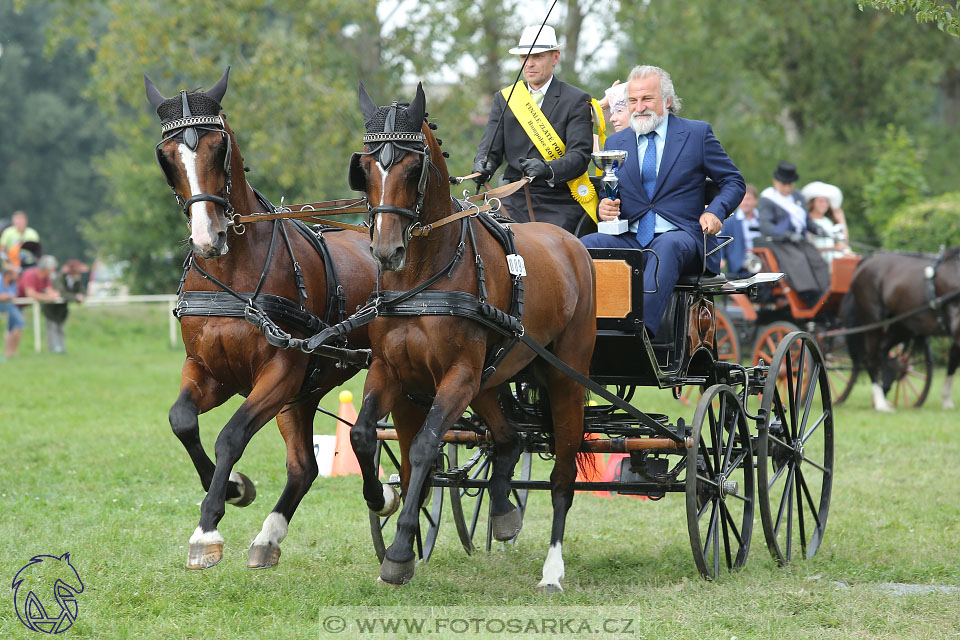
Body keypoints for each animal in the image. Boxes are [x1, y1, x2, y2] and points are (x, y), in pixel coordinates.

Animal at [144, 70, 376, 568]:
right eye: (167, 156)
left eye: (219, 147)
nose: (207, 237)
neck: (232, 275)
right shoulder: (211, 371)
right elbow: (181, 420)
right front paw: (234, 488)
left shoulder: (280, 371)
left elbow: (231, 437)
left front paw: (207, 528)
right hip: (307, 390)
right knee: (304, 466)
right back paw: (268, 538)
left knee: (380, 433)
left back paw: (383, 496)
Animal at [344, 82, 596, 592]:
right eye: (365, 167)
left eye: (413, 167)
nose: (386, 250)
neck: (421, 278)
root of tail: (571, 244)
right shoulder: (390, 369)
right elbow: (362, 434)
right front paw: (381, 498)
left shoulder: (457, 375)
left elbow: (424, 447)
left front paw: (399, 552)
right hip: (490, 380)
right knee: (508, 440)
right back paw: (502, 513)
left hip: (564, 379)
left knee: (562, 476)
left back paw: (552, 569)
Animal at [844, 248, 956, 412]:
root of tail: (866, 260)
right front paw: (947, 401)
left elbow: (953, 361)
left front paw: (947, 401)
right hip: (874, 322)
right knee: (871, 358)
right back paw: (881, 403)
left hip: (901, 325)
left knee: (883, 353)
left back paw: (885, 391)